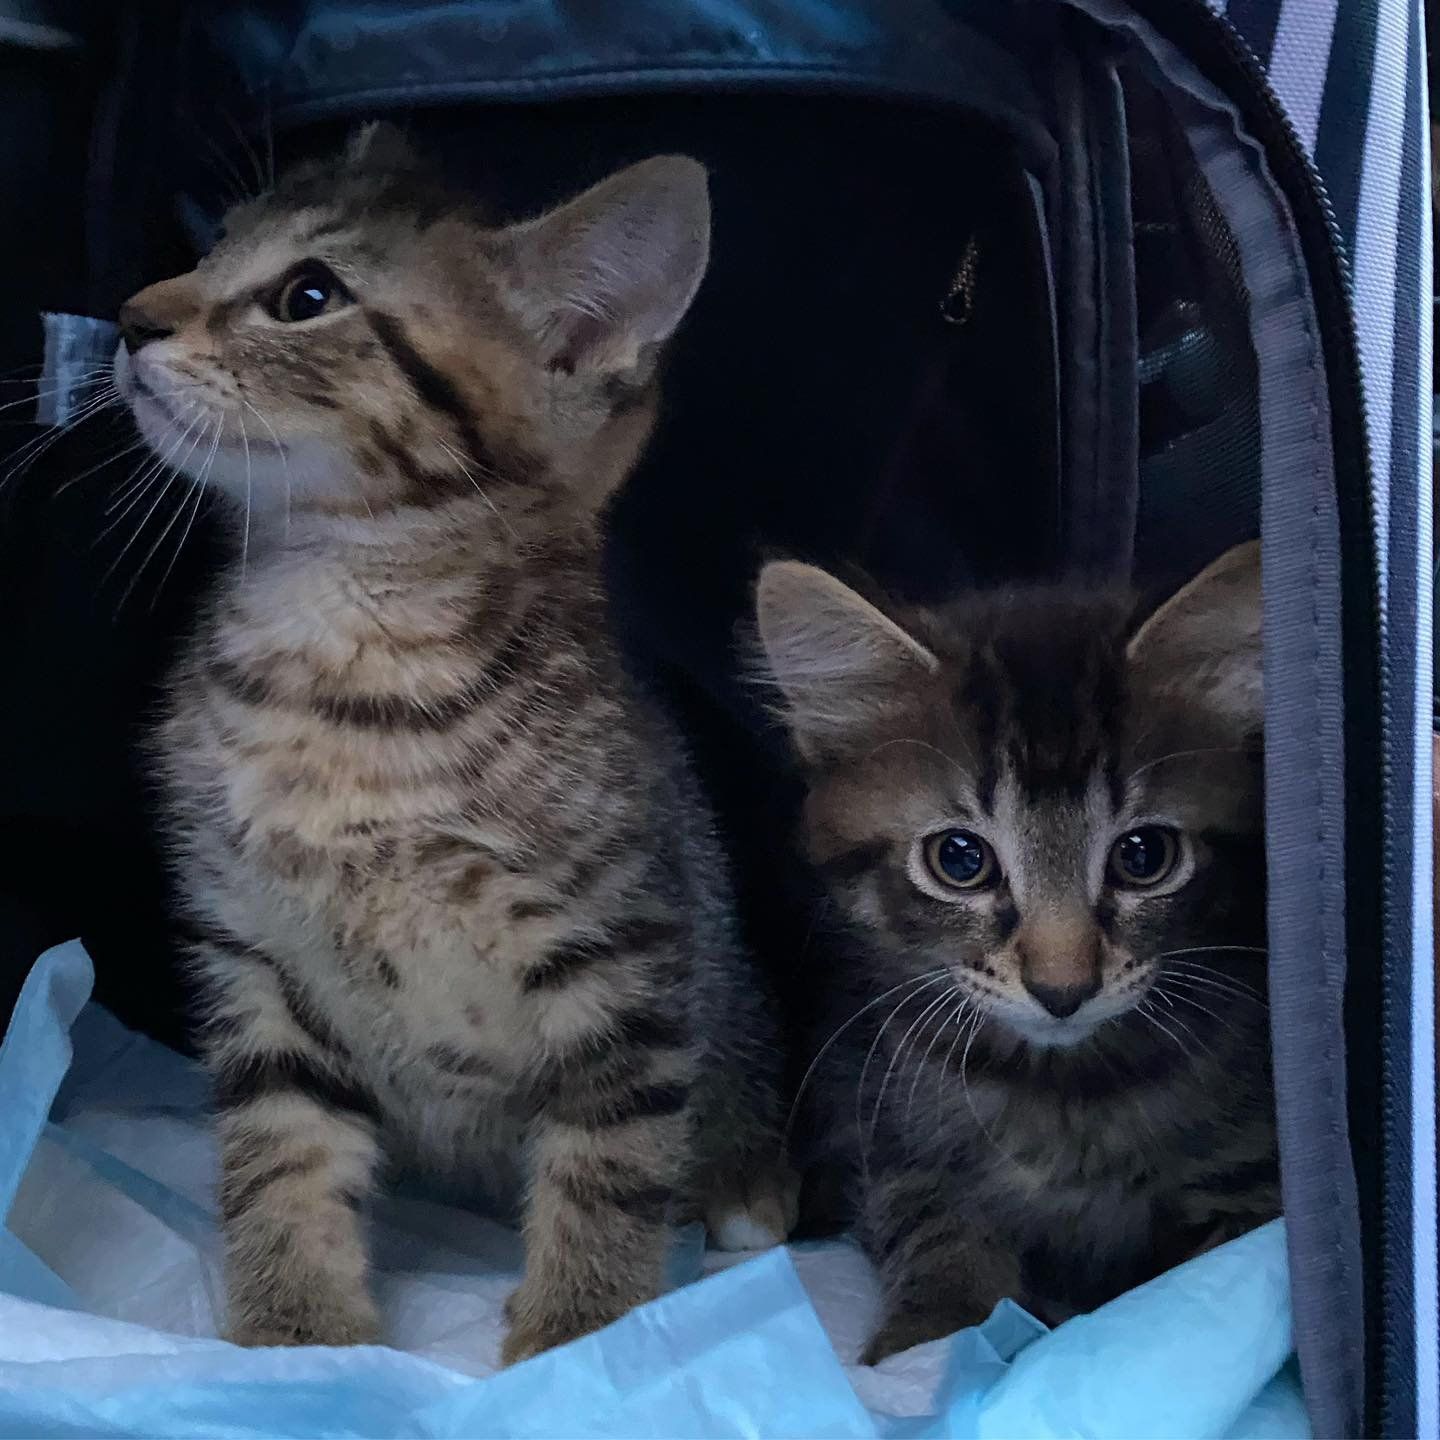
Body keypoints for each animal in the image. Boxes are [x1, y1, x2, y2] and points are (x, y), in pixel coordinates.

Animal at [113, 123, 794, 1359]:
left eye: (309, 295)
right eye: (213, 245)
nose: (132, 316)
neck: (343, 669)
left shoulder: (626, 952)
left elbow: (609, 1158)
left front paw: (581, 1340)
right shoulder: (254, 950)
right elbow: (279, 1148)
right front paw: (299, 1336)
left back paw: (746, 1183)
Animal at [754, 541, 1272, 1359]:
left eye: (1144, 856)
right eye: (960, 859)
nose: (1063, 988)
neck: (1062, 1092)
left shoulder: (1252, 1178)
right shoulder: (894, 1138)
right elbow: (935, 1232)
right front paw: (932, 1337)